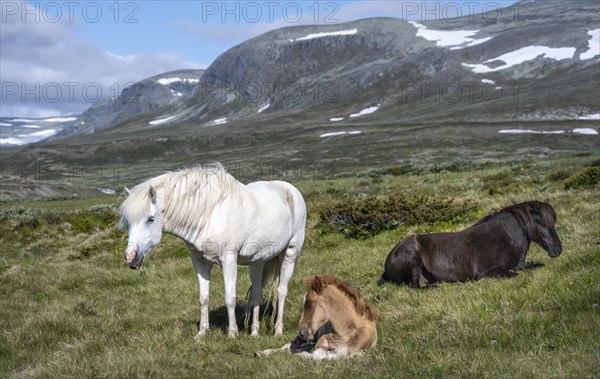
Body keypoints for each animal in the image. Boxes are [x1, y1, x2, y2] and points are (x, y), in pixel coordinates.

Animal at [118, 163, 304, 338]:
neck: (209, 215)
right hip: (258, 261)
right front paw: (202, 333)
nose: (131, 257)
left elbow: (230, 298)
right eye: (128, 222)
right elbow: (203, 298)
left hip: (290, 254)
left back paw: (278, 330)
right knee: (257, 291)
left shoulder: (229, 260)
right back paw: (254, 332)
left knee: (281, 291)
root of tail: (290, 189)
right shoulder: (199, 261)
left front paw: (232, 333)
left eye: (150, 219)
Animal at [380, 202, 564, 288]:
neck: (505, 237)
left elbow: (535, 266)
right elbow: (513, 274)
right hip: (413, 261)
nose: (557, 250)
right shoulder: (490, 271)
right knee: (415, 286)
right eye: (541, 223)